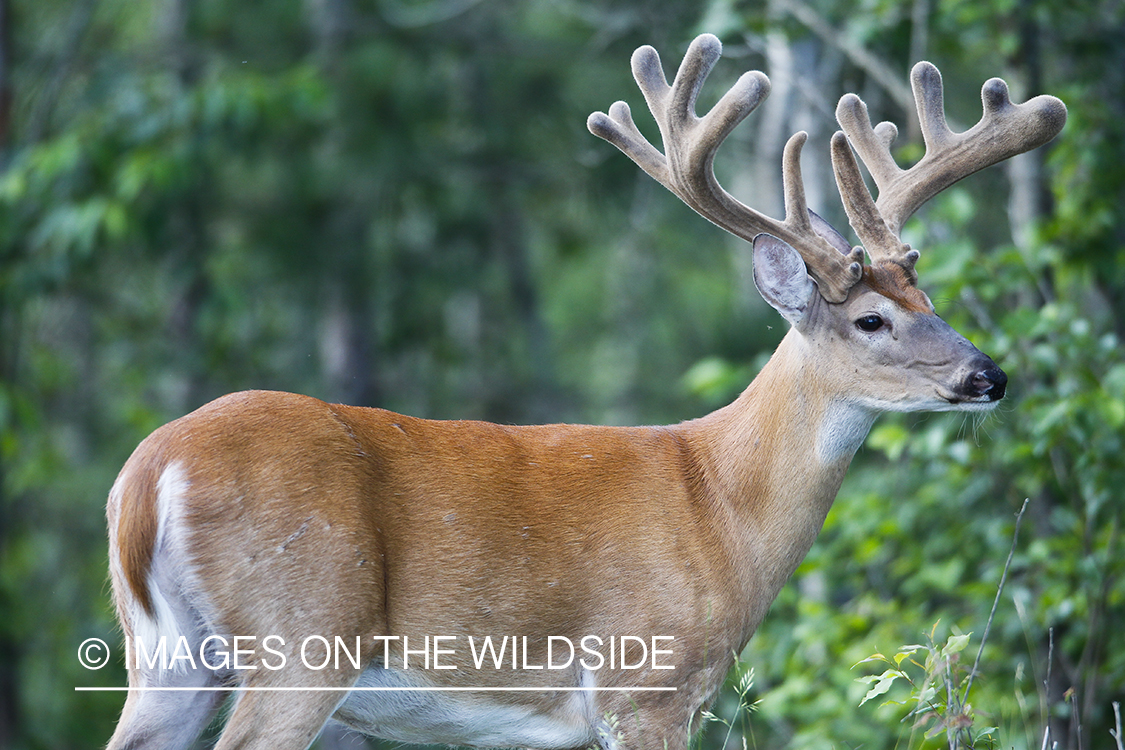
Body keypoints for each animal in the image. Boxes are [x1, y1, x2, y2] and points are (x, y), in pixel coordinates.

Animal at [103, 33, 1065, 750]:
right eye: (871, 320)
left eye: (931, 304)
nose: (988, 376)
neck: (720, 505)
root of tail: (149, 477)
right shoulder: (648, 680)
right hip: (303, 635)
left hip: (167, 658)